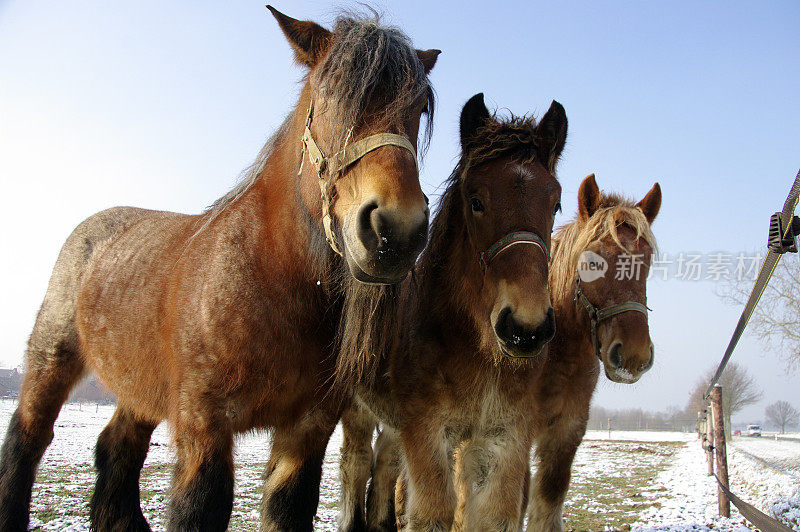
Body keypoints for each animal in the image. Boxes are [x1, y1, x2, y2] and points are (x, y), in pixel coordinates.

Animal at [0, 8, 438, 532]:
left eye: (419, 107)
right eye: (331, 94)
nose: (396, 230)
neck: (272, 274)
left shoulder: (307, 429)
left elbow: (289, 506)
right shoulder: (204, 422)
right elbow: (200, 507)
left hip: (139, 387)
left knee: (118, 447)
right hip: (51, 360)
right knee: (27, 440)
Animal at [338, 93, 568, 528]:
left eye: (556, 204)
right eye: (475, 201)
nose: (525, 327)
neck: (476, 350)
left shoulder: (504, 438)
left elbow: (493, 516)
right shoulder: (429, 432)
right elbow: (431, 514)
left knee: (384, 465)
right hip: (358, 412)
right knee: (355, 464)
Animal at [344, 175, 664, 532]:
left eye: (647, 263)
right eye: (593, 262)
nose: (633, 355)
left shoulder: (565, 432)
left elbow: (547, 502)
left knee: (387, 465)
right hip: (358, 412)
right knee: (358, 464)